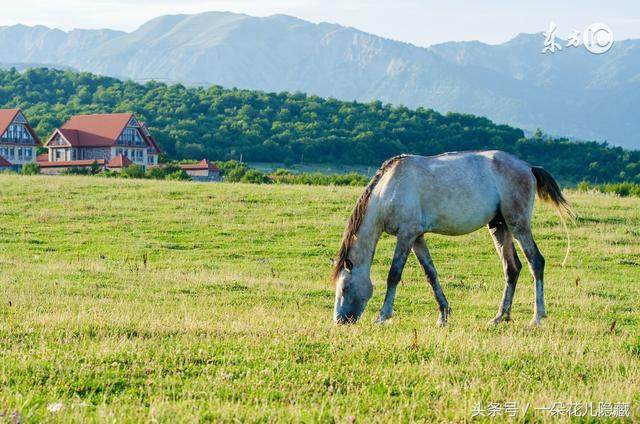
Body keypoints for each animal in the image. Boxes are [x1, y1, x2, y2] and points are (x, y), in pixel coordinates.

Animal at [332, 151, 572, 326]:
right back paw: (500, 317)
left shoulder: (406, 235)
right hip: (499, 226)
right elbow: (431, 274)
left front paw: (382, 316)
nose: (340, 321)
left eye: (344, 288)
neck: (388, 191)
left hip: (518, 225)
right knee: (512, 268)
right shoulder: (417, 237)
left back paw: (537, 317)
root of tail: (528, 167)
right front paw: (443, 315)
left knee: (536, 262)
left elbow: (394, 275)